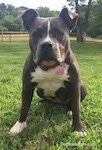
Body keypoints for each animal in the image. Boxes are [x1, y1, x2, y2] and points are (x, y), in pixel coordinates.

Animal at [9, 7, 87, 135]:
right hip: (38, 91)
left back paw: (69, 109)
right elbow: (24, 107)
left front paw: (78, 129)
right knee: (46, 99)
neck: (50, 66)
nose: (46, 45)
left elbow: (77, 109)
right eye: (36, 34)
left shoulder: (74, 86)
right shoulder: (27, 87)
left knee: (73, 103)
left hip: (82, 87)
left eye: (60, 33)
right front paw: (19, 126)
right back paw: (41, 102)